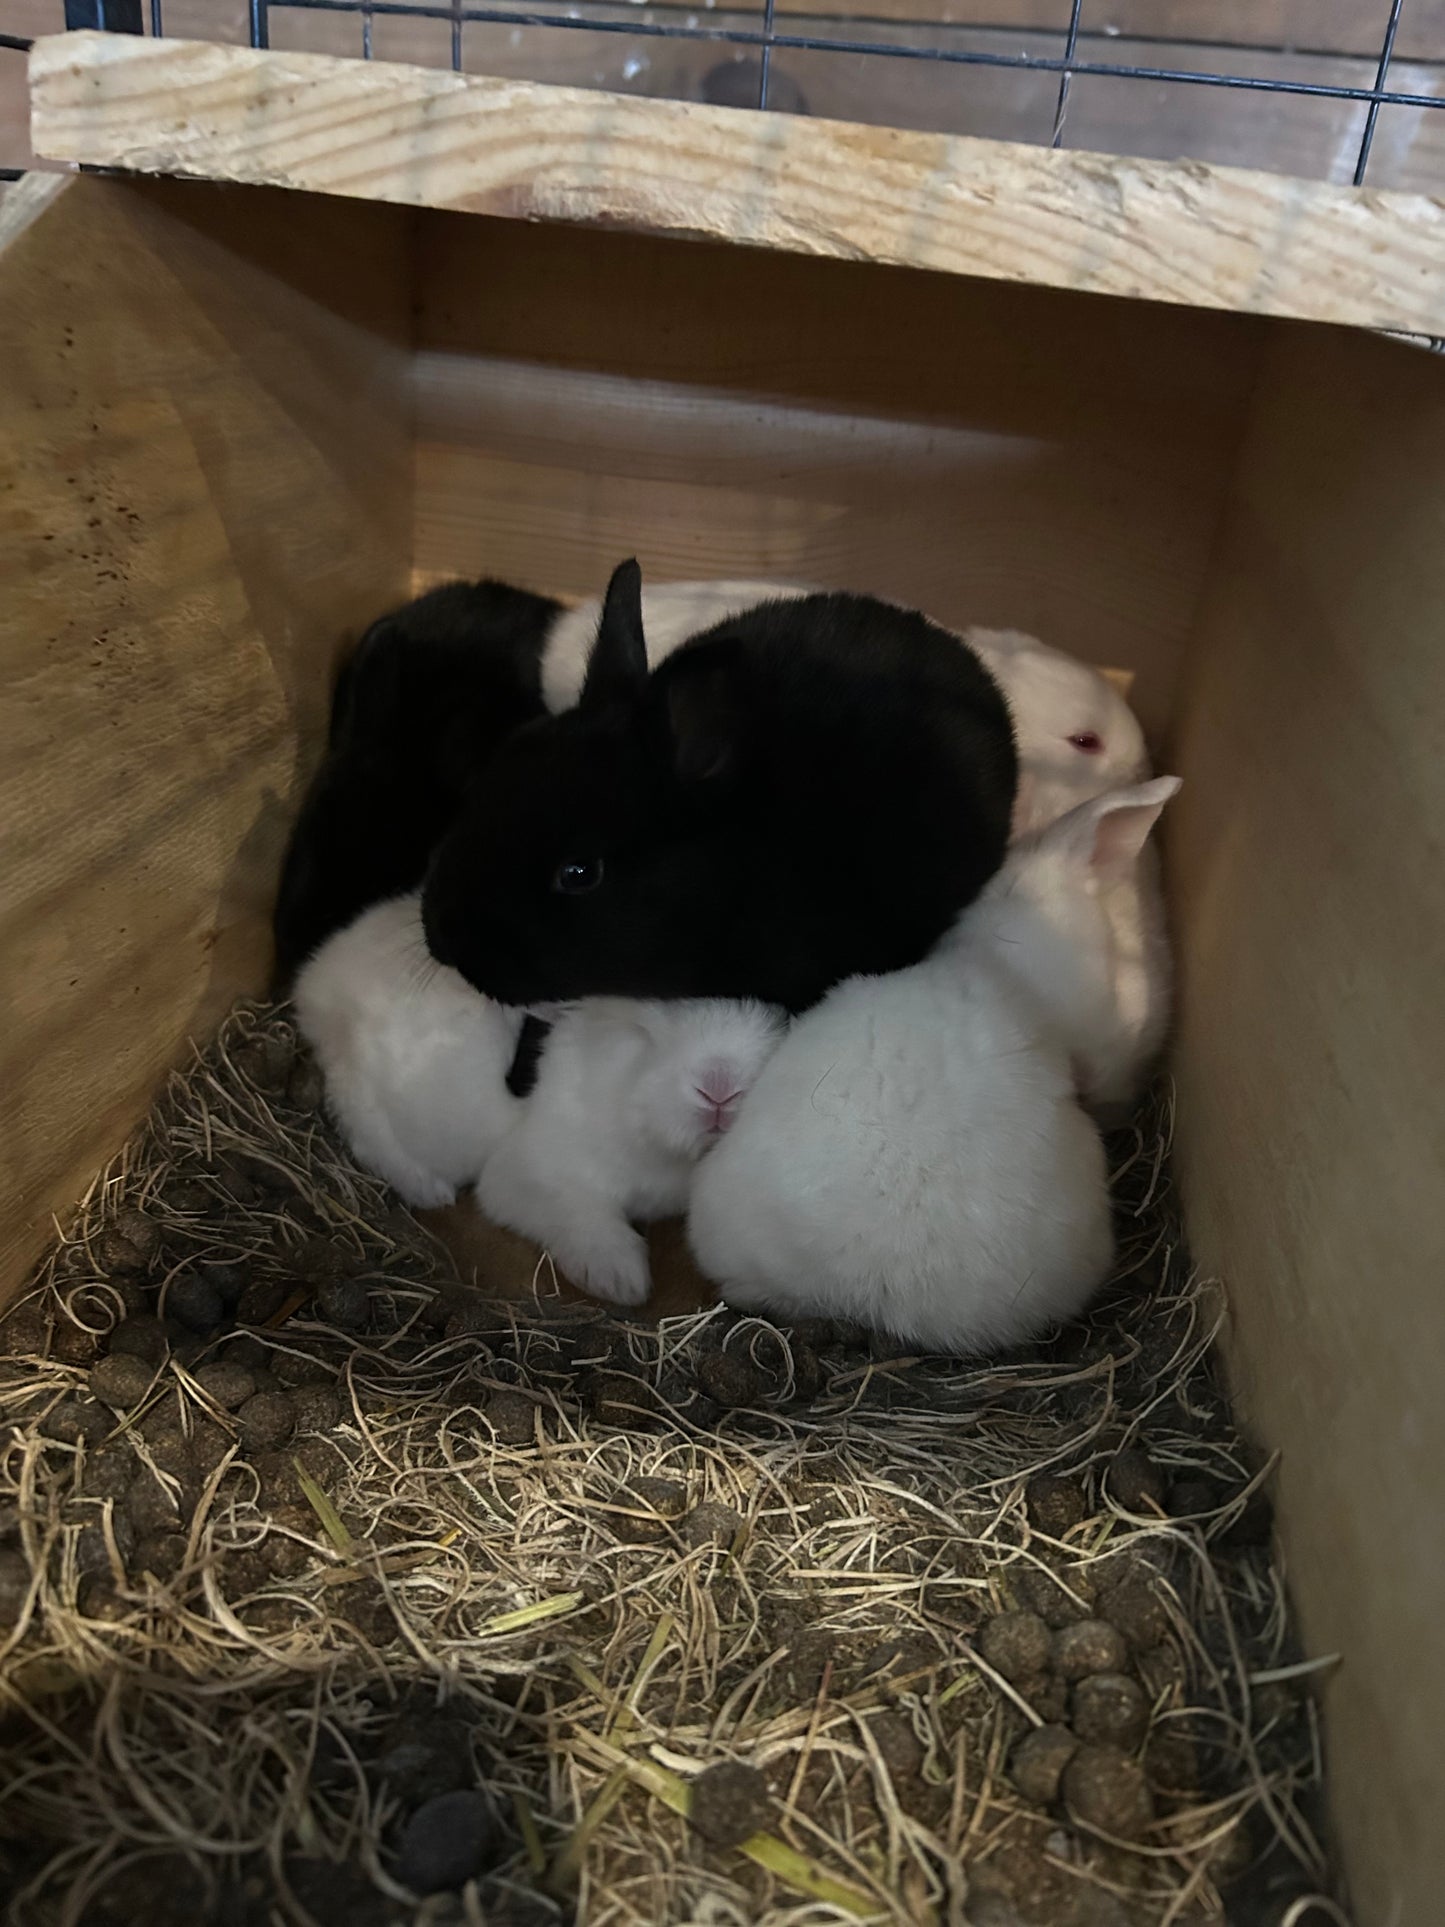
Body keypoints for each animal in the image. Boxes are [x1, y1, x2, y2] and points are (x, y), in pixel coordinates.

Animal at [476, 997, 787, 1306]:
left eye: (779, 1019)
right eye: (641, 1031)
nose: (719, 1090)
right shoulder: (529, 1171)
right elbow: (578, 1208)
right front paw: (620, 1281)